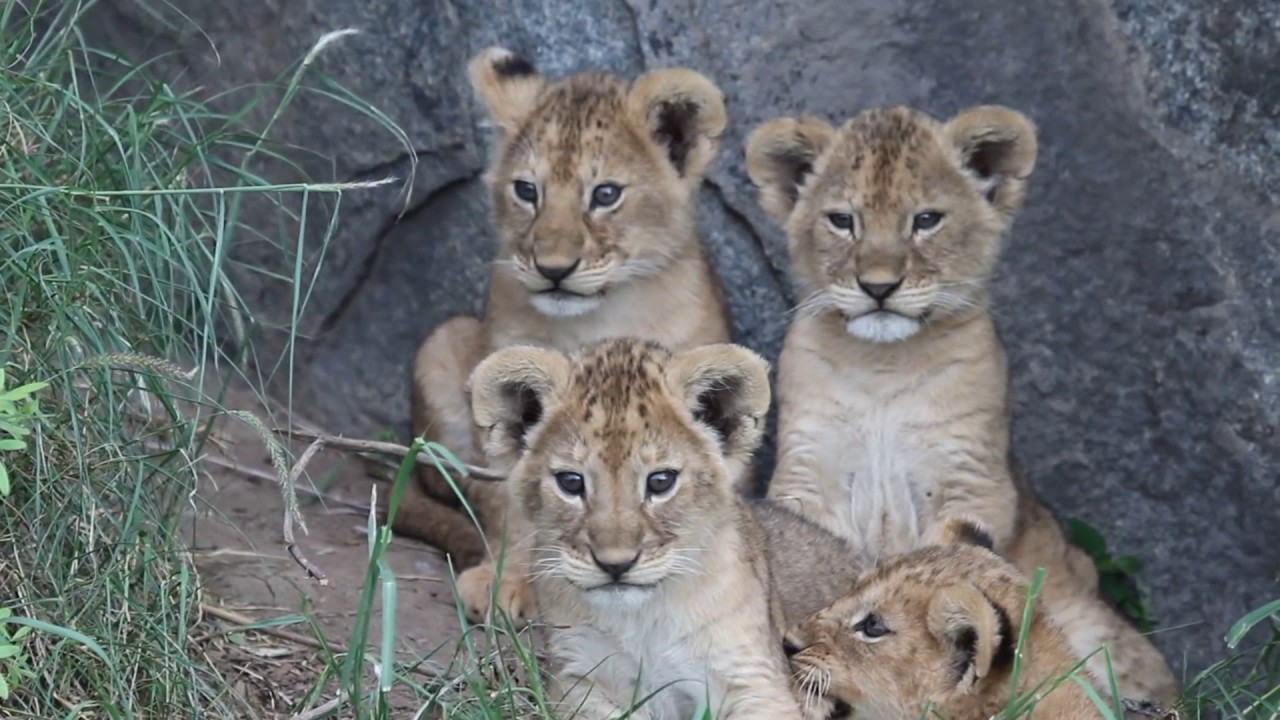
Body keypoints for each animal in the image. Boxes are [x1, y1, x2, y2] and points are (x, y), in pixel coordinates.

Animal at [392, 47, 734, 624]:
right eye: (527, 190)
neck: (592, 319)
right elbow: (510, 497)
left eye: (606, 194)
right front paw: (505, 581)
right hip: (442, 343)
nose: (553, 268)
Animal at [467, 338, 869, 719]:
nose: (615, 565)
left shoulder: (755, 681)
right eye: (570, 482)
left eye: (660, 482)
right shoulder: (581, 681)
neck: (641, 620)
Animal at [744, 105, 1177, 705]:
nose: (879, 287)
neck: (882, 366)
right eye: (842, 221)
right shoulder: (809, 477)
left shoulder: (972, 480)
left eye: (926, 220)